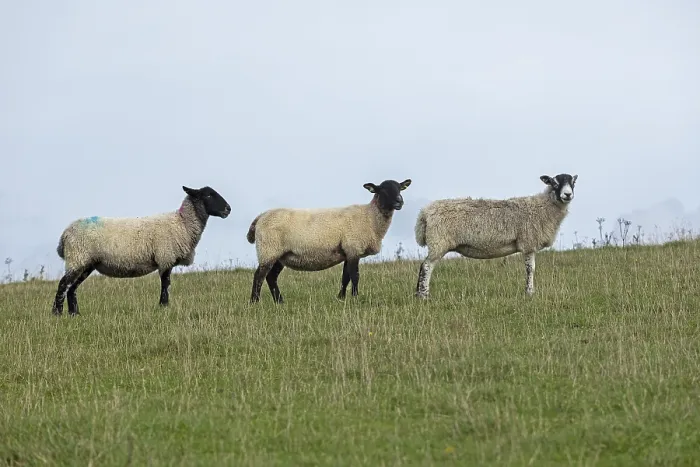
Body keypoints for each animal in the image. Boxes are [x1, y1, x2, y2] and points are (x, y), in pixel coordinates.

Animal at [52, 186, 231, 316]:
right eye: (208, 195)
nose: (228, 209)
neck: (182, 223)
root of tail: (65, 234)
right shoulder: (165, 257)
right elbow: (166, 284)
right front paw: (164, 306)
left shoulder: (167, 259)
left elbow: (166, 284)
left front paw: (163, 306)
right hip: (77, 257)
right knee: (63, 285)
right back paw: (57, 313)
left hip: (86, 263)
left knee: (72, 289)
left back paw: (75, 314)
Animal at [246, 179, 412, 303]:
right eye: (382, 190)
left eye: (400, 189)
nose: (399, 201)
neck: (369, 217)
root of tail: (260, 217)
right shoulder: (353, 248)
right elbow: (355, 276)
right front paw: (355, 298)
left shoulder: (348, 252)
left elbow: (345, 277)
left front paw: (341, 298)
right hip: (268, 249)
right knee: (259, 276)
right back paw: (254, 302)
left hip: (279, 255)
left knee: (271, 277)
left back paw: (279, 301)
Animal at [414, 173, 578, 298]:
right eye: (555, 183)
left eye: (573, 183)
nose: (567, 194)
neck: (542, 207)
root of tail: (424, 213)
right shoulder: (528, 243)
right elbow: (530, 269)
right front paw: (530, 292)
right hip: (438, 242)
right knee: (427, 266)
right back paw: (424, 295)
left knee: (424, 266)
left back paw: (417, 294)